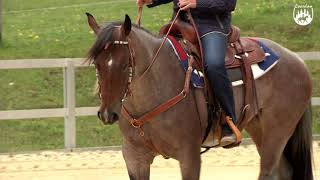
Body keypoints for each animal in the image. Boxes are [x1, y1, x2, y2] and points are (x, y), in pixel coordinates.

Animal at [84, 13, 312, 180]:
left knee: (268, 172)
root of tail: (297, 59)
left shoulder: (189, 156)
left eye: (125, 65)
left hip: (278, 132)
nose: (107, 114)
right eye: (97, 64)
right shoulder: (135, 157)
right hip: (259, 127)